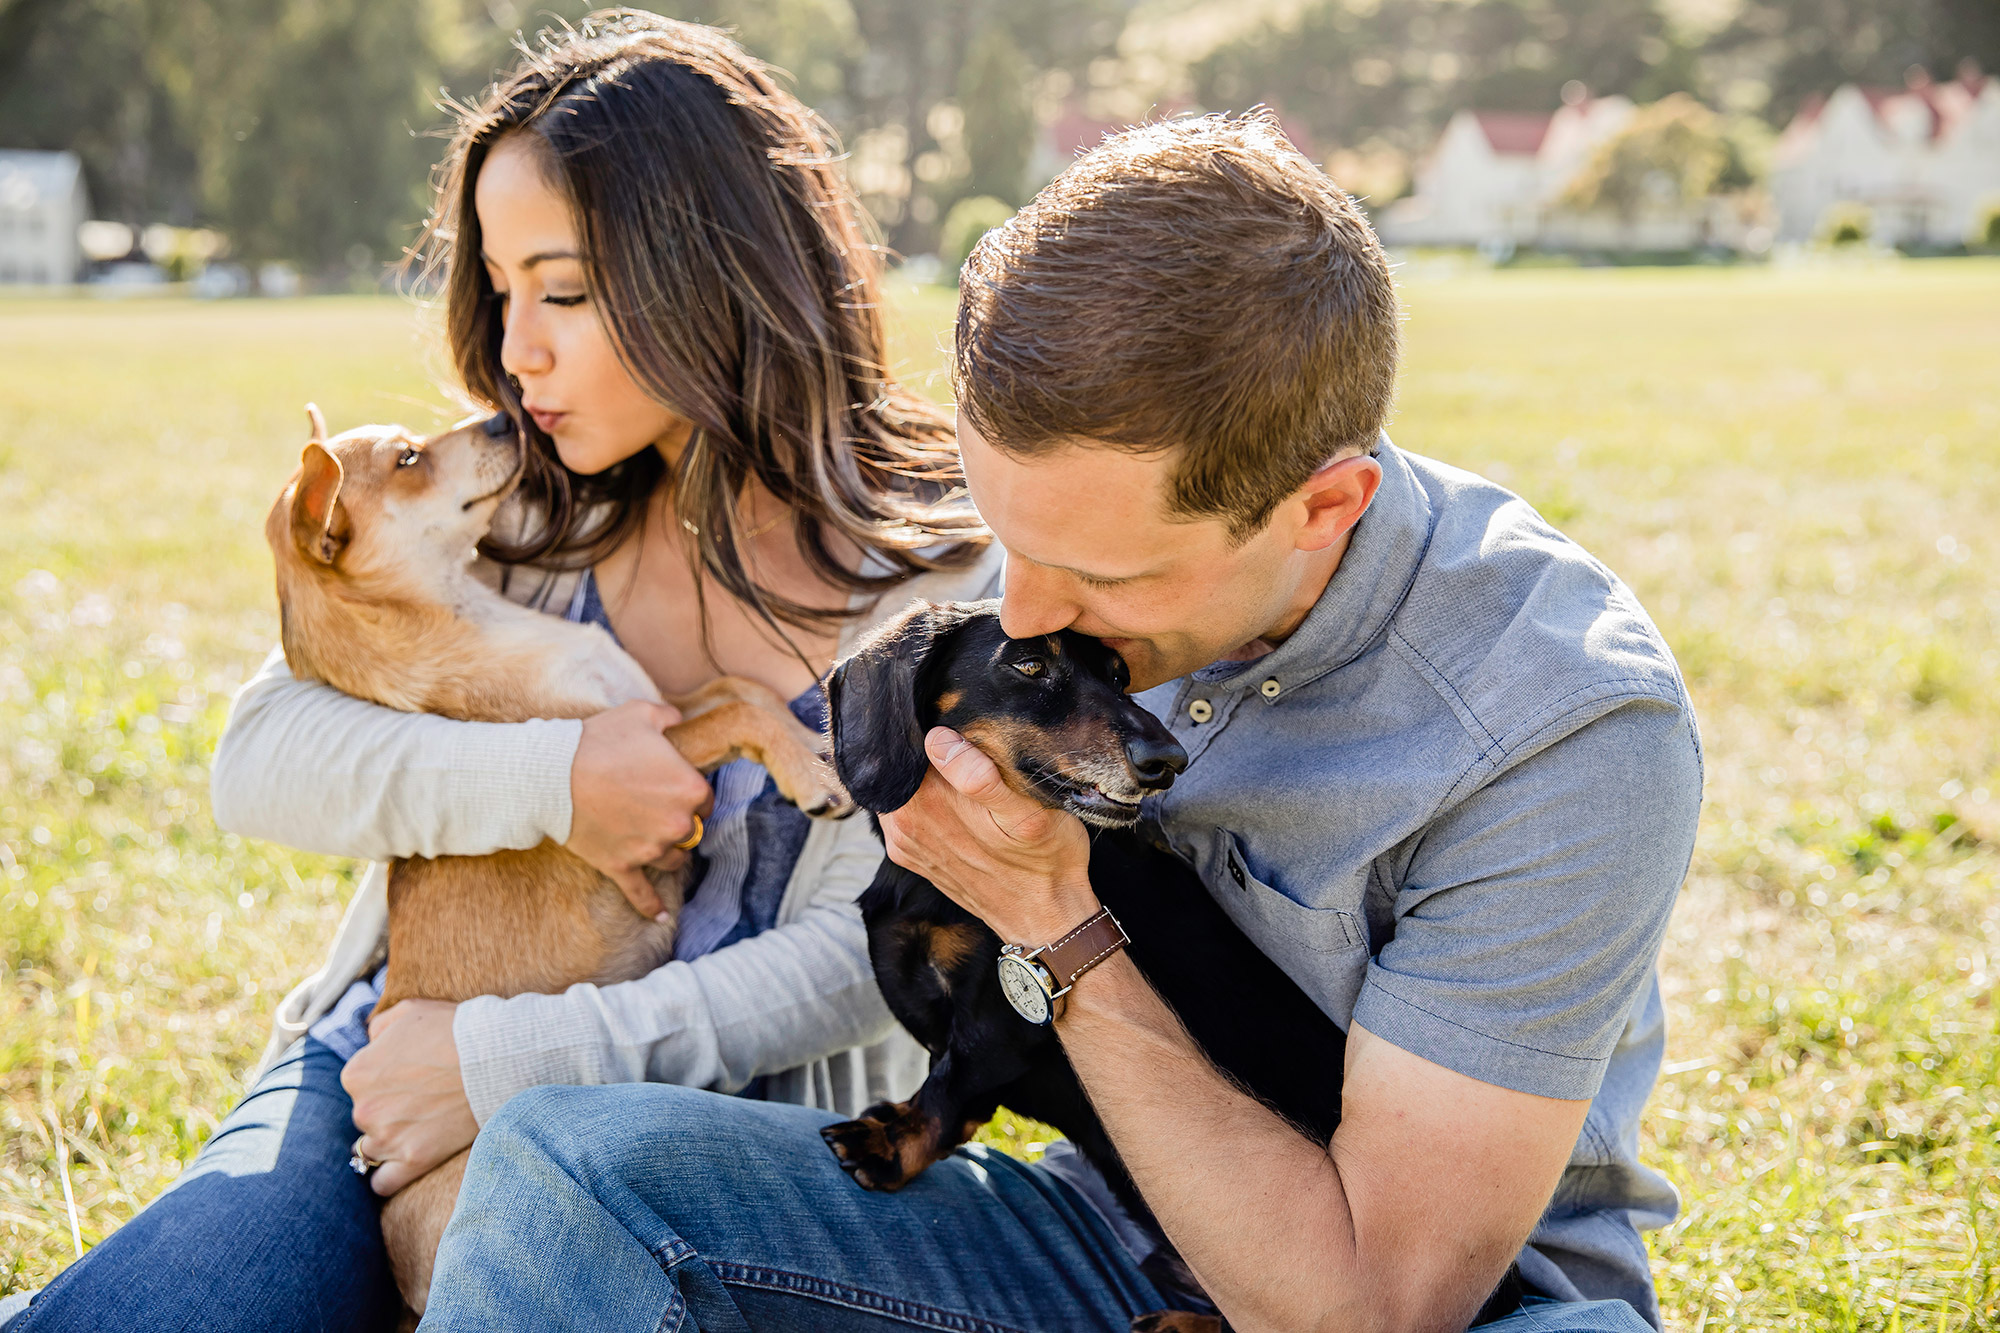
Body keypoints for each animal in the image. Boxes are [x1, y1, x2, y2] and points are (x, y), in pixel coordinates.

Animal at [266, 402, 844, 1304]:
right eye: (407, 460)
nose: (507, 416)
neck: (473, 619)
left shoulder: (657, 706)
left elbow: (737, 689)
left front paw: (811, 733)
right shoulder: (655, 746)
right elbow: (737, 714)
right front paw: (813, 771)